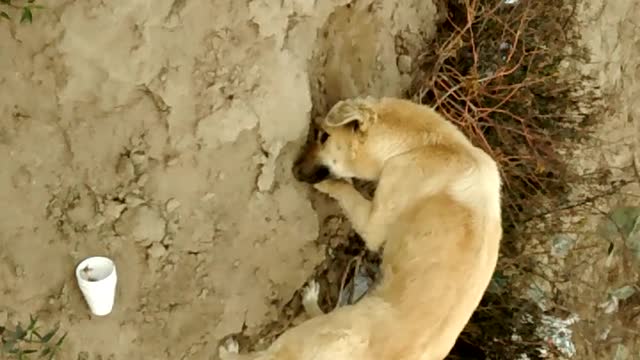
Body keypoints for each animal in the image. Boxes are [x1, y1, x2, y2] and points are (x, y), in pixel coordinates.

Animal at [218, 97, 502, 358]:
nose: (294, 171)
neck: (430, 145)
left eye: (324, 136)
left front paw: (330, 184)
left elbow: (346, 189)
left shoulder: (379, 214)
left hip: (315, 335)